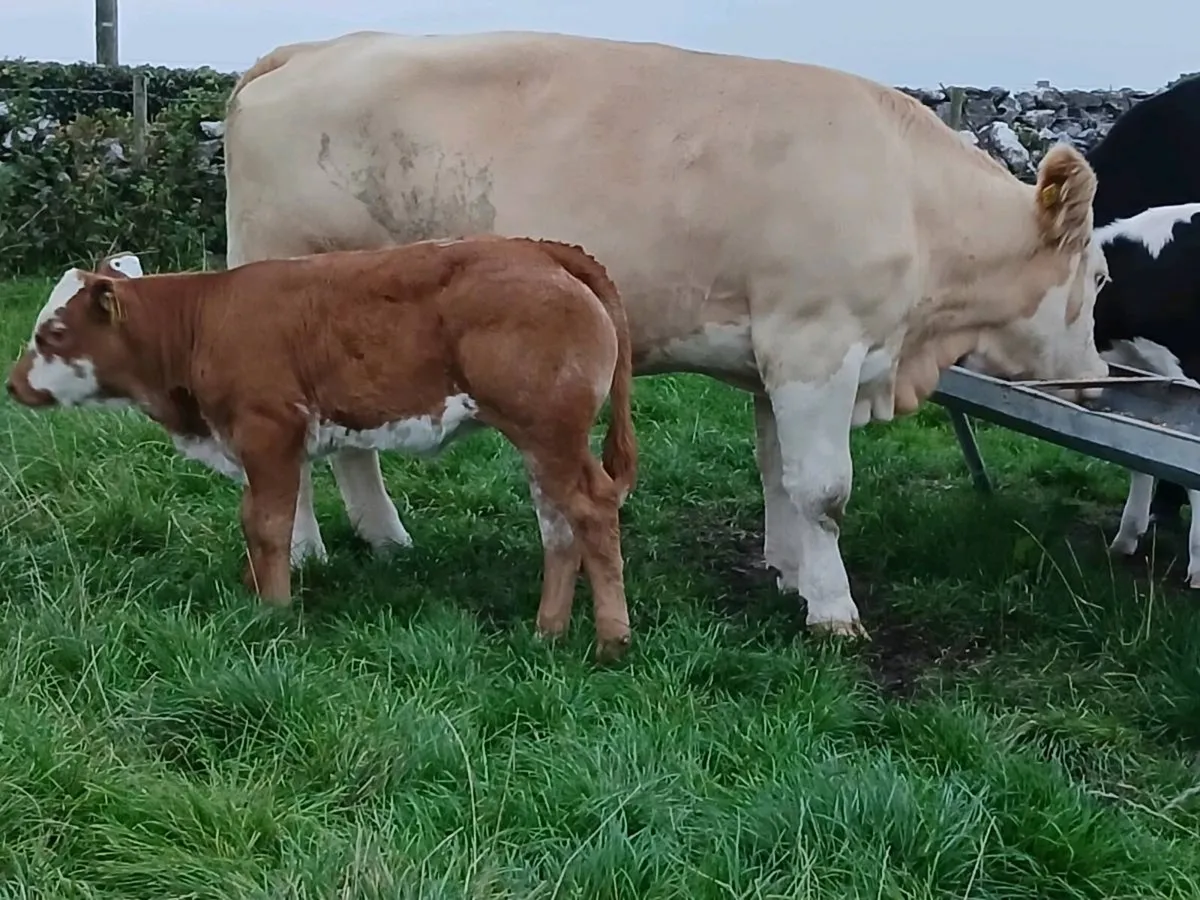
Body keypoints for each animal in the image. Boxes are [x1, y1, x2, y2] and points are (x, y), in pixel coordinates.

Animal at [5, 236, 640, 662]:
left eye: (53, 332)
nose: (12, 385)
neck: (202, 319)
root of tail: (541, 250)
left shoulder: (269, 431)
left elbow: (268, 524)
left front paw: (274, 611)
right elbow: (253, 519)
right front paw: (256, 595)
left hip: (551, 431)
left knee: (591, 511)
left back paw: (612, 640)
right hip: (544, 441)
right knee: (558, 526)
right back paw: (547, 631)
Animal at [220, 29, 1111, 638]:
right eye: (1100, 278)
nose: (1102, 381)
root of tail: (309, 50)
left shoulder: (773, 358)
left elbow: (777, 473)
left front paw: (789, 574)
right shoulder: (814, 343)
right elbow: (822, 491)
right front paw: (833, 611)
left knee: (353, 445)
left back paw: (386, 538)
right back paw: (306, 551)